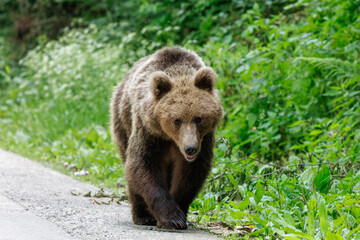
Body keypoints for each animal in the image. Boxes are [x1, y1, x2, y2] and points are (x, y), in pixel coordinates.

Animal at [109, 46, 222, 229]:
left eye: (199, 118)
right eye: (176, 120)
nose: (190, 148)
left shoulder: (204, 140)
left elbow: (190, 174)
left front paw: (181, 213)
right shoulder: (148, 132)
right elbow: (142, 165)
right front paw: (172, 217)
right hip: (122, 121)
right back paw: (142, 216)